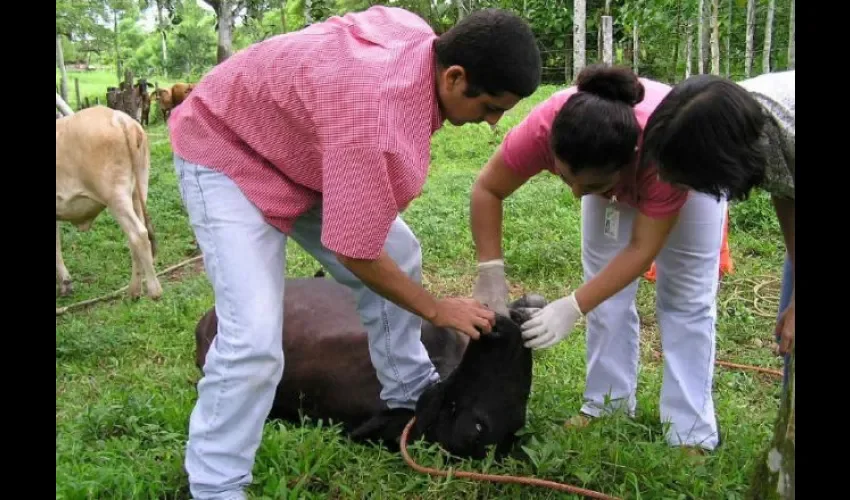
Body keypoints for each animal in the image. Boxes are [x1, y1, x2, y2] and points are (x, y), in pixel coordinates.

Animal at [57, 105, 163, 298]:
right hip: (138, 189)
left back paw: (154, 291)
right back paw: (134, 291)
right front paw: (65, 284)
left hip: (116, 196)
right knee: (136, 236)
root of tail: (119, 117)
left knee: (139, 234)